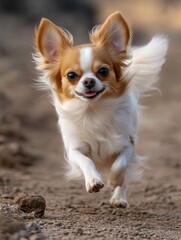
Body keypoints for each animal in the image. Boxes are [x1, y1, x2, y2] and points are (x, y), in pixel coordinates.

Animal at [34, 10, 168, 206]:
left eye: (103, 71)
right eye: (71, 75)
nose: (89, 81)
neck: (93, 111)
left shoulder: (128, 144)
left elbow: (120, 165)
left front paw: (114, 181)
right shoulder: (74, 149)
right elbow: (86, 161)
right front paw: (93, 181)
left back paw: (119, 198)